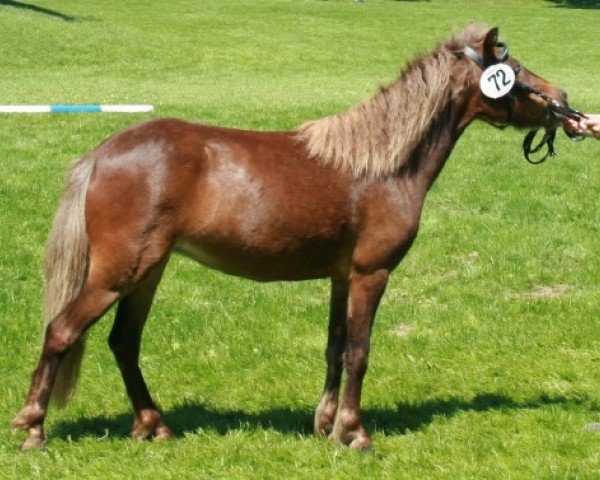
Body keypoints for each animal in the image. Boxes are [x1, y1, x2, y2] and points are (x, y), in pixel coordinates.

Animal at [12, 25, 568, 450]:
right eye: (514, 71)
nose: (563, 101)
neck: (381, 165)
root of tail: (101, 153)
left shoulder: (342, 276)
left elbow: (336, 346)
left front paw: (325, 424)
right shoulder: (371, 274)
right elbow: (360, 352)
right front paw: (355, 433)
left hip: (147, 272)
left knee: (124, 342)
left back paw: (155, 426)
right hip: (118, 272)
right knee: (62, 331)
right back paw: (34, 429)